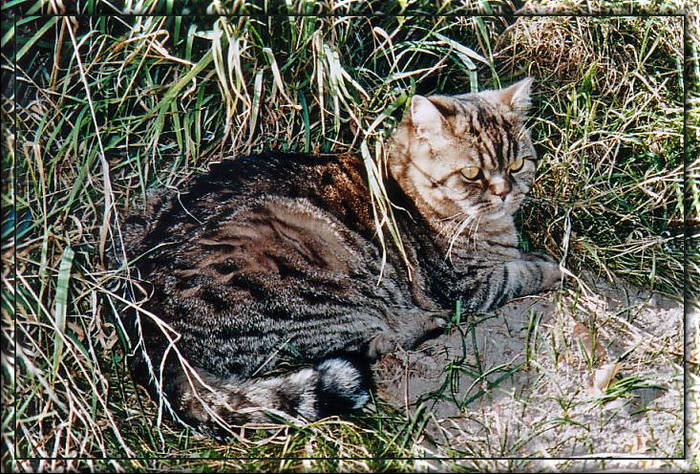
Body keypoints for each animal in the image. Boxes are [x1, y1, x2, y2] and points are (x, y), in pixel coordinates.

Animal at [119, 77, 556, 436]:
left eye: (517, 163)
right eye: (471, 174)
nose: (505, 192)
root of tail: (151, 336)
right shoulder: (464, 286)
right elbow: (517, 273)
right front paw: (552, 268)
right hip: (319, 279)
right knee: (369, 342)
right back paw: (423, 324)